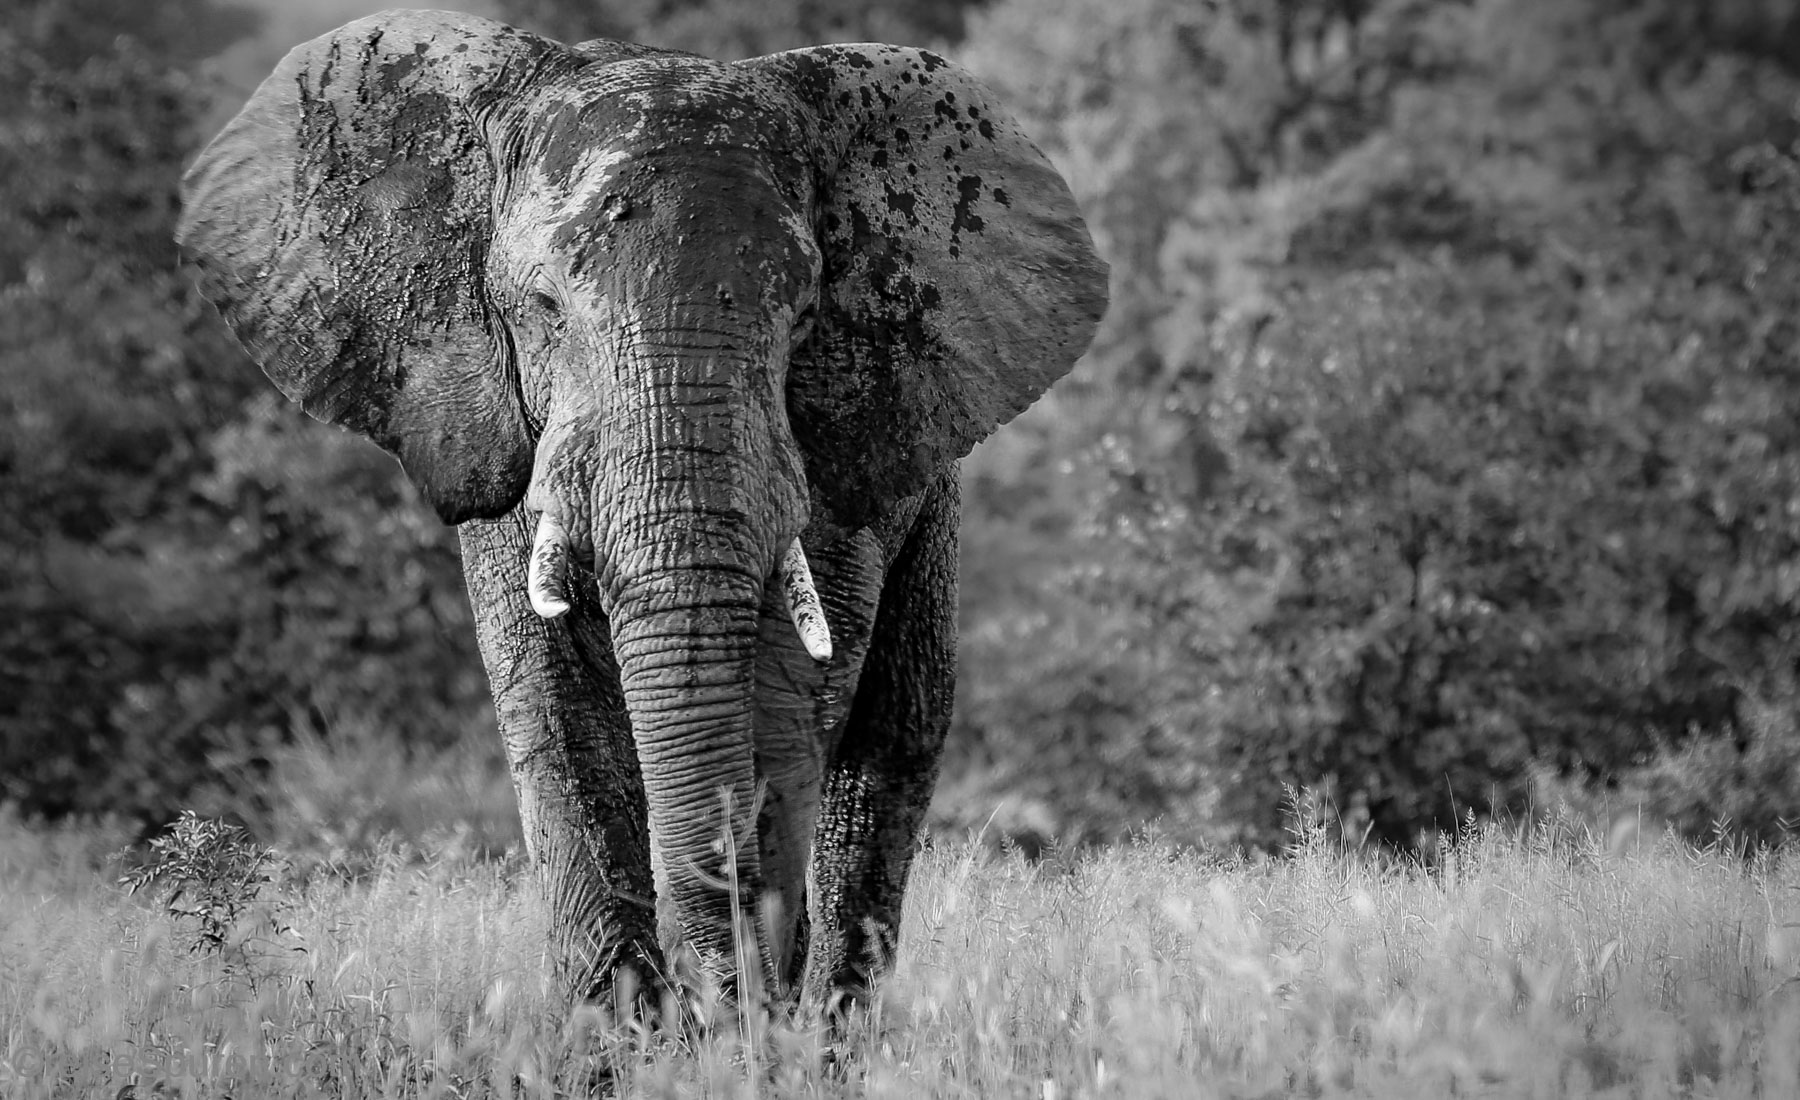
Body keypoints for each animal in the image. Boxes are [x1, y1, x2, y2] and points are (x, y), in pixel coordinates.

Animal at [176, 8, 1107, 1010]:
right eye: (544, 308)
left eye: (804, 314)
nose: (722, 999)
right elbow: (554, 711)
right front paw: (627, 1032)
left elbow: (789, 694)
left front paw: (749, 1020)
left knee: (891, 749)